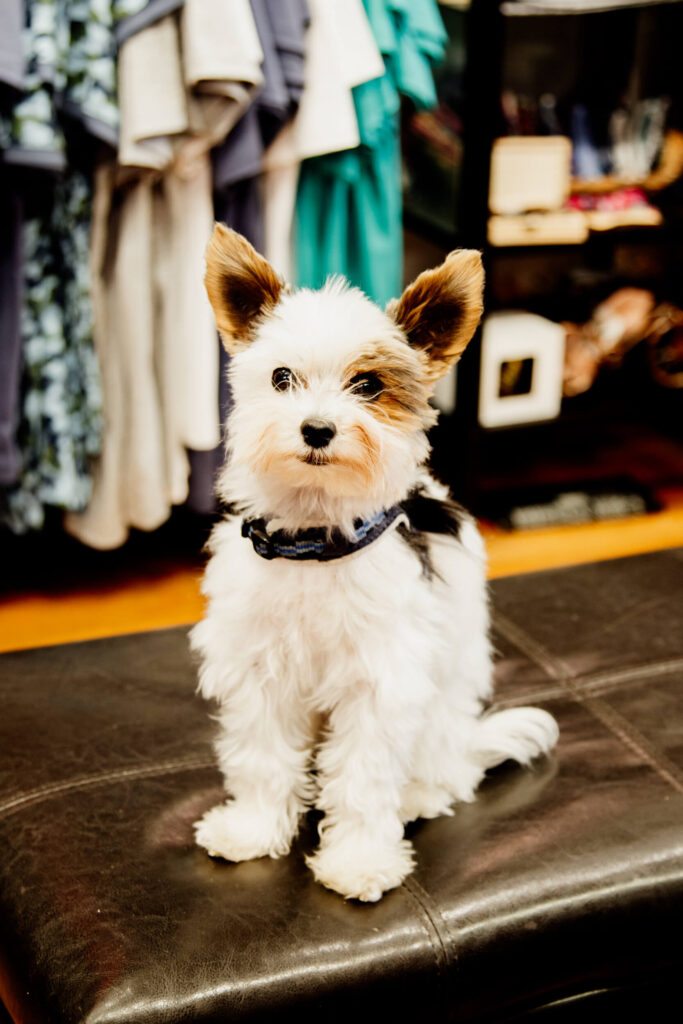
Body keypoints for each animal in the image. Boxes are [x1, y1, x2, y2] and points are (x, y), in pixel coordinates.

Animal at [189, 228, 557, 901]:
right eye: (281, 377)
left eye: (368, 386)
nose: (316, 429)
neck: (315, 541)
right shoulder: (260, 668)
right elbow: (261, 756)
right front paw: (253, 830)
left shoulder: (381, 682)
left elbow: (362, 777)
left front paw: (358, 861)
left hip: (441, 711)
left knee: (445, 776)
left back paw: (418, 795)